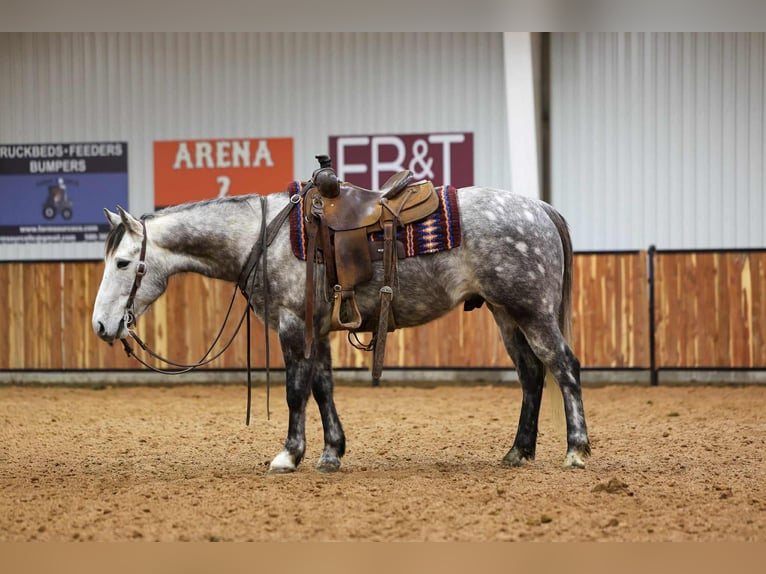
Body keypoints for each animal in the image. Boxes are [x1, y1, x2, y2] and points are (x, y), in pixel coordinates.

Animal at [91, 184, 591, 473]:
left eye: (122, 262)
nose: (100, 325)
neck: (264, 237)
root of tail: (540, 208)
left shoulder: (293, 323)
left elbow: (296, 390)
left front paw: (289, 455)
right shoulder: (318, 328)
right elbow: (323, 387)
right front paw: (331, 452)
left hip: (532, 311)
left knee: (564, 367)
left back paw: (576, 449)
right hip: (506, 314)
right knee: (531, 375)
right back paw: (518, 452)